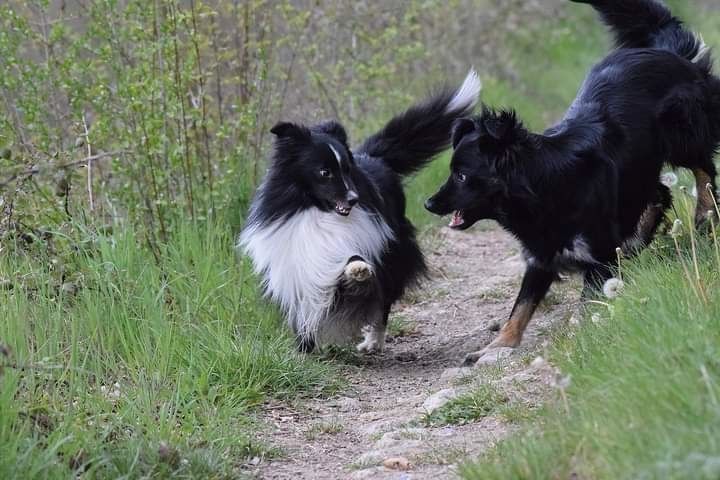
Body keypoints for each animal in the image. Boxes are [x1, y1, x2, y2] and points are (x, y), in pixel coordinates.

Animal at [239, 69, 480, 352]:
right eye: (324, 172)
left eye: (346, 169)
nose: (354, 199)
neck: (318, 215)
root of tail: (374, 157)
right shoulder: (296, 267)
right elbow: (303, 311)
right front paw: (304, 350)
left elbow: (353, 268)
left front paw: (357, 270)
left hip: (394, 252)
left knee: (383, 304)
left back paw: (373, 341)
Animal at [424, 0, 716, 364]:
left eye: (462, 175)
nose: (427, 203)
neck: (543, 188)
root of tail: (663, 50)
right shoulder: (541, 252)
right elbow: (520, 308)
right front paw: (493, 348)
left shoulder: (596, 253)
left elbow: (586, 300)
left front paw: (582, 330)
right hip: (641, 170)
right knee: (660, 193)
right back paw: (638, 240)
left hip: (681, 134)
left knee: (704, 170)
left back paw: (705, 213)